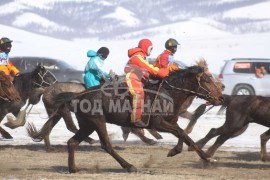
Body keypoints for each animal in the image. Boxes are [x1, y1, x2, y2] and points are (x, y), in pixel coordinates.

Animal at [26, 65, 224, 173]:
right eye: (207, 79)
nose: (221, 97)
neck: (168, 92)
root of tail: (77, 96)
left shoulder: (171, 121)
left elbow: (184, 134)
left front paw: (187, 153)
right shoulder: (158, 123)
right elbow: (181, 133)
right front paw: (205, 157)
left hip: (87, 124)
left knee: (72, 142)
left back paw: (73, 168)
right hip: (97, 121)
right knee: (106, 145)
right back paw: (128, 166)